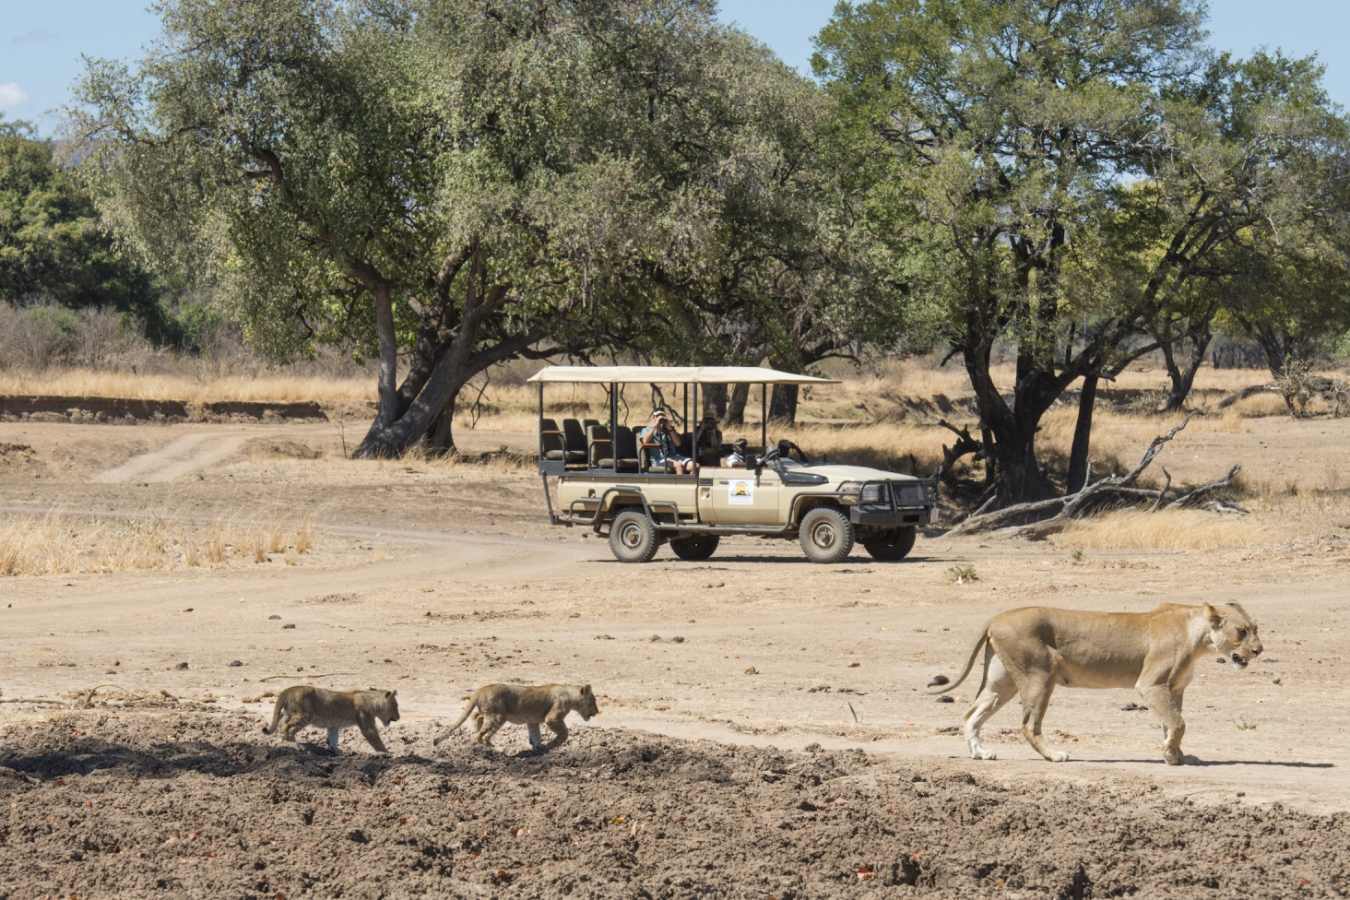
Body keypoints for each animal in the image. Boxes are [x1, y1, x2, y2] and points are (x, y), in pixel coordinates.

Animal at [261, 685, 400, 754]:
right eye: (395, 705)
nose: (399, 717)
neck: (372, 702)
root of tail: (288, 690)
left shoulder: (333, 726)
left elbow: (333, 739)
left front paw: (336, 751)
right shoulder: (367, 725)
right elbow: (376, 740)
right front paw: (387, 753)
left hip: (290, 713)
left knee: (282, 722)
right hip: (305, 715)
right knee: (285, 726)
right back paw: (292, 743)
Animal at [432, 683, 599, 752]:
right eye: (593, 701)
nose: (597, 712)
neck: (570, 696)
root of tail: (481, 689)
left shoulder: (532, 721)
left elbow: (535, 736)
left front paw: (539, 749)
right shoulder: (552, 718)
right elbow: (564, 733)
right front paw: (550, 745)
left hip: (490, 712)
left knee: (476, 716)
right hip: (498, 716)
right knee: (481, 736)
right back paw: (493, 747)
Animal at [933, 602, 1263, 765]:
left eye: (1256, 629)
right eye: (1242, 631)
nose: (1259, 650)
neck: (1199, 637)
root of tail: (995, 618)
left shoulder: (1174, 688)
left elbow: (1171, 723)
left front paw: (1176, 754)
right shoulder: (1151, 685)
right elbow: (1178, 723)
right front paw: (1170, 756)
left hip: (1002, 681)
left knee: (971, 714)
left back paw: (980, 753)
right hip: (1041, 674)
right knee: (1028, 725)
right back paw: (1055, 756)